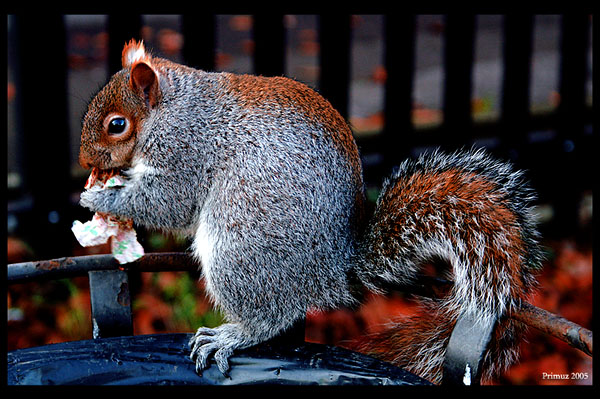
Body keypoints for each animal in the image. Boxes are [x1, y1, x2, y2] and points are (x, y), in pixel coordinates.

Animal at [77, 40, 540, 384]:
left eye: (117, 125)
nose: (84, 161)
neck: (172, 108)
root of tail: (334, 271)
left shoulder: (185, 150)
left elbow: (170, 201)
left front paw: (100, 200)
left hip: (239, 250)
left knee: (271, 317)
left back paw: (230, 335)